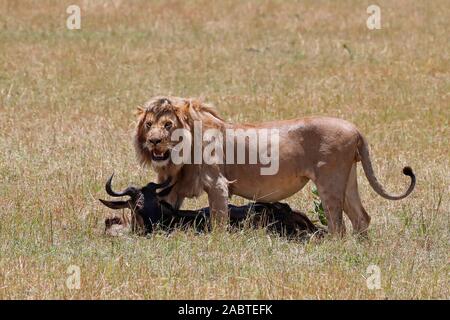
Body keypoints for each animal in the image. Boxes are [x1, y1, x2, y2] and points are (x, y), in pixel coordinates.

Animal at [134, 97, 414, 235]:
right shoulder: (174, 187)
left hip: (330, 181)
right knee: (360, 217)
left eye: (168, 125)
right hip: (348, 180)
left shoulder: (218, 184)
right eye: (148, 125)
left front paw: (218, 244)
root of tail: (355, 129)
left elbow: (219, 221)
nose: (154, 141)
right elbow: (164, 211)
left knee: (337, 225)